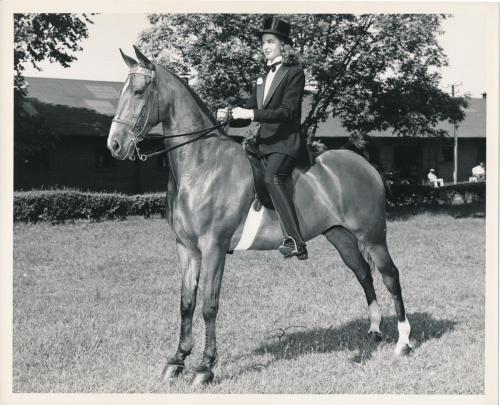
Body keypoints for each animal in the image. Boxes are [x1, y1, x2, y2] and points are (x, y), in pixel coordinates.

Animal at [107, 46, 412, 386]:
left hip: (372, 236)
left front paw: (205, 367)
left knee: (390, 275)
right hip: (341, 236)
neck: (201, 164)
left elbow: (209, 305)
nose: (115, 145)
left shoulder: (213, 247)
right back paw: (374, 330)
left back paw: (403, 341)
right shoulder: (186, 247)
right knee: (363, 273)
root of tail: (366, 165)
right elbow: (186, 303)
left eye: (138, 91)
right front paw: (177, 360)